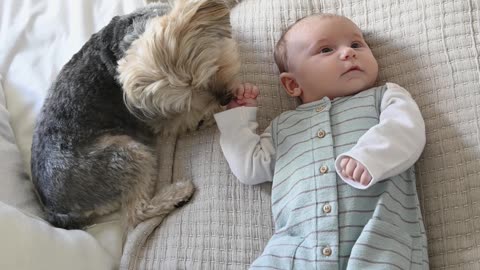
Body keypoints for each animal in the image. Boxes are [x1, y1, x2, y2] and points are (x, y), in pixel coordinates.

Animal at [30, 0, 240, 229]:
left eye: (212, 67)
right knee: (135, 213)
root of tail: (54, 210)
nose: (225, 98)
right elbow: (187, 117)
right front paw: (218, 112)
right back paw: (178, 194)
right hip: (125, 154)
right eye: (189, 96)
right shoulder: (160, 119)